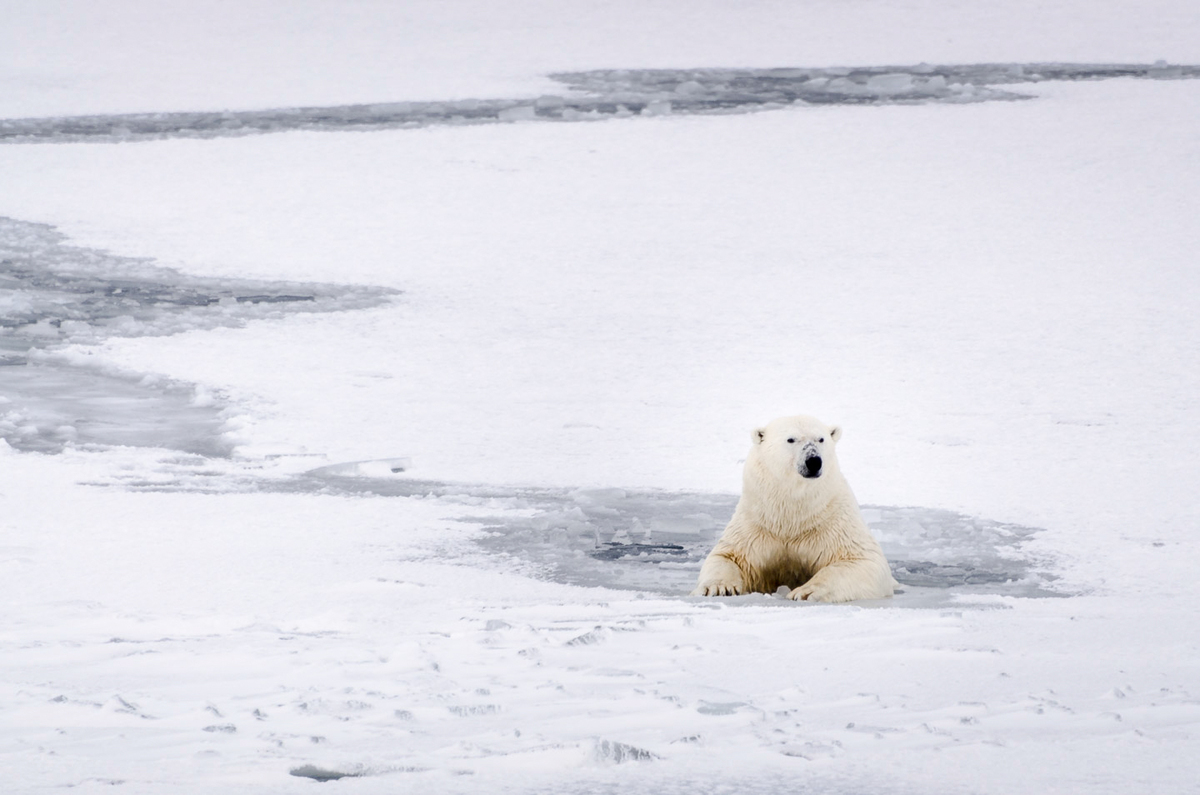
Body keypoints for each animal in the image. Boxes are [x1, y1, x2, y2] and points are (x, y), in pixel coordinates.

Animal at [691, 417, 897, 605]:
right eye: (791, 439)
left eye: (821, 439)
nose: (814, 461)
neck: (793, 516)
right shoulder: (755, 524)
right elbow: (728, 556)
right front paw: (718, 587)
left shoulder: (834, 523)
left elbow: (863, 560)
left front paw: (805, 591)